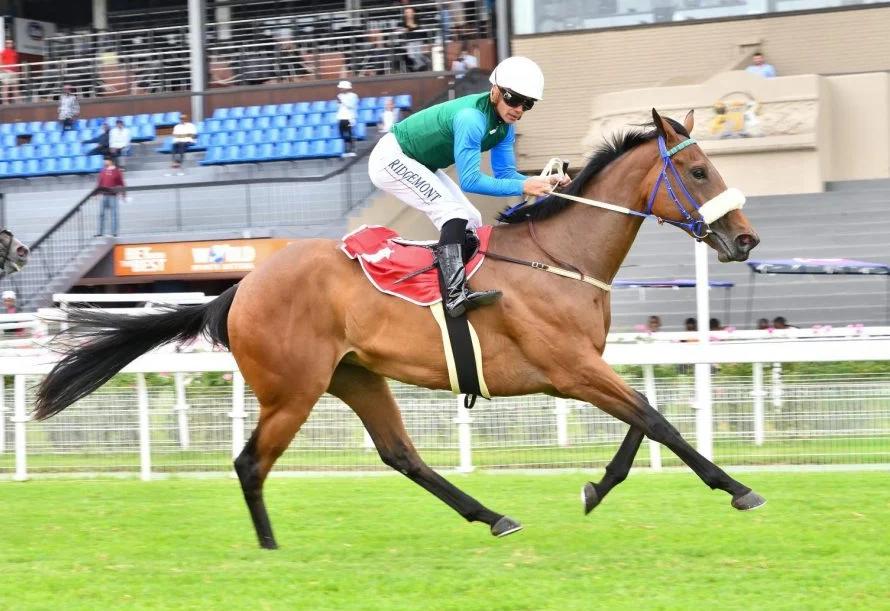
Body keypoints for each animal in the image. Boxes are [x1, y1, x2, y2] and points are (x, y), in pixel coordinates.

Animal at [34, 109, 764, 549]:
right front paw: (738, 489)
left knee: (400, 455)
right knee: (250, 462)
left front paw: (594, 487)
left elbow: (643, 419)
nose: (746, 239)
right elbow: (655, 418)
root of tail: (242, 286)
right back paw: (269, 548)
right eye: (699, 170)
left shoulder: (583, 368)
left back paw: (493, 515)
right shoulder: (570, 368)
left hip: (355, 376)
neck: (559, 257)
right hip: (292, 389)